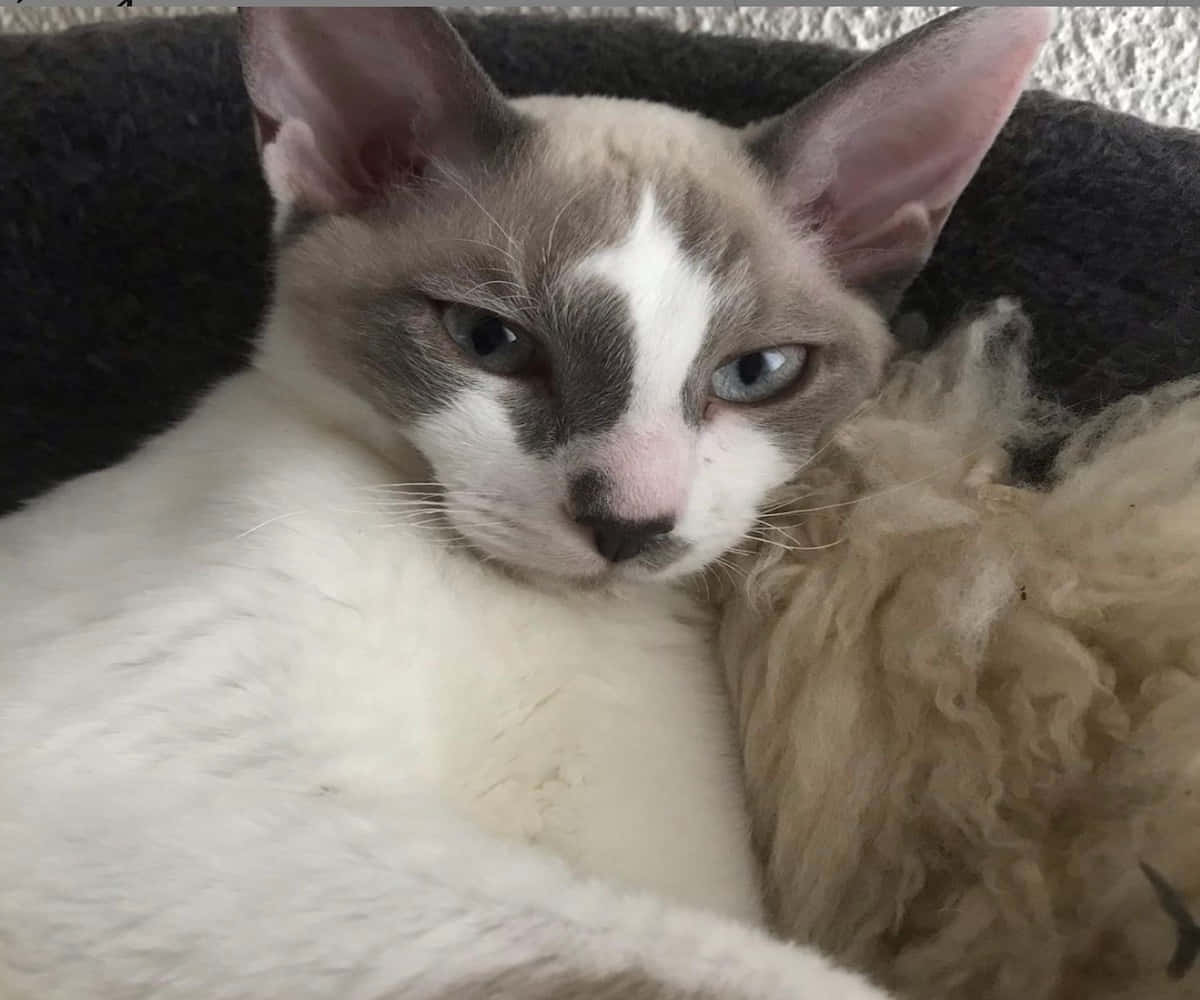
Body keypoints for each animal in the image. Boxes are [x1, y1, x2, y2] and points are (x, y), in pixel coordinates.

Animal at [0, 5, 1051, 989]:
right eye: (489, 341)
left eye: (757, 373)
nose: (628, 522)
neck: (543, 625)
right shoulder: (209, 801)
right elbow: (706, 965)